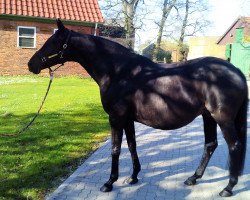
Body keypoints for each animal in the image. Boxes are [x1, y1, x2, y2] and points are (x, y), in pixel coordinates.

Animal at [28, 20, 247, 197]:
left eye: (53, 42)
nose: (31, 64)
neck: (119, 72)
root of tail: (236, 71)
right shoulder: (128, 119)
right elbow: (132, 145)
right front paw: (133, 177)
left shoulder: (116, 118)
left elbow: (116, 148)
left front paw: (109, 182)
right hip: (207, 116)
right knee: (210, 145)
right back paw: (193, 178)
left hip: (222, 118)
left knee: (234, 145)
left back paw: (228, 188)